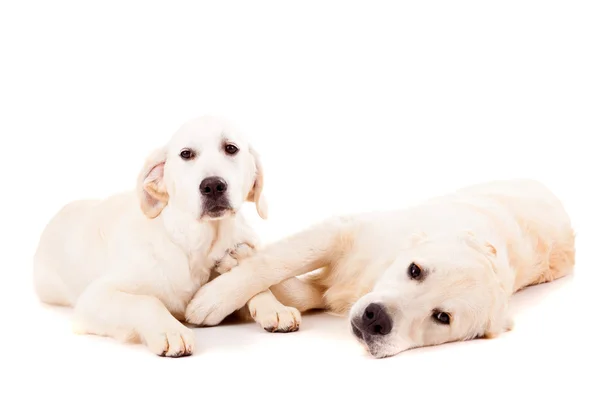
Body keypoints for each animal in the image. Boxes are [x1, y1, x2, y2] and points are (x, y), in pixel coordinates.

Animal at [34, 115, 300, 356]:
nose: (213, 186)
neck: (197, 246)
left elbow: (250, 279)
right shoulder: (95, 297)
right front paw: (170, 331)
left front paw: (274, 307)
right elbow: (146, 301)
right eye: (186, 154)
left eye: (231, 148)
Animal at [185, 180, 576, 358]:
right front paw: (217, 295)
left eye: (442, 318)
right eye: (415, 271)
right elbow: (276, 261)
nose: (376, 319)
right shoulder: (342, 232)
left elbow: (305, 290)